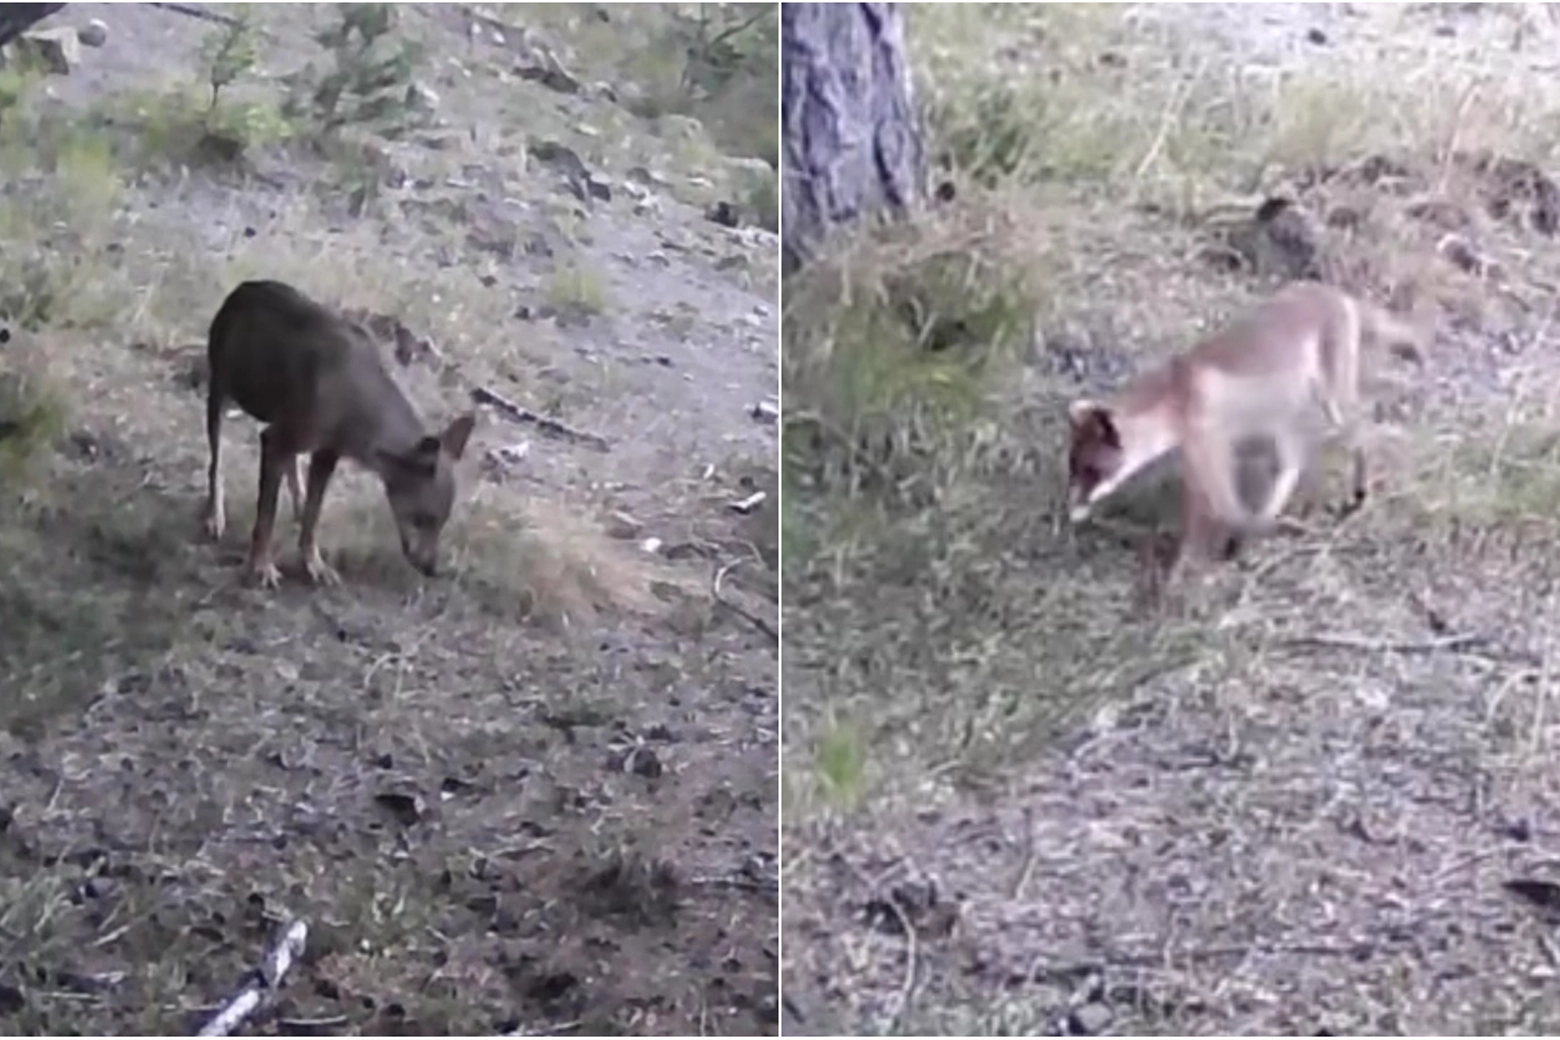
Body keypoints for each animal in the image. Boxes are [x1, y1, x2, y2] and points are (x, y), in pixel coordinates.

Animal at [204, 280, 477, 589]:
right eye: (421, 519)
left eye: (442, 521)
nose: (432, 569)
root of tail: (241, 289)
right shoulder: (273, 441)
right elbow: (266, 517)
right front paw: (262, 566)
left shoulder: (326, 454)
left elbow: (313, 516)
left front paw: (315, 564)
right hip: (221, 392)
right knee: (216, 463)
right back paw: (215, 514)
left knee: (290, 466)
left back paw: (296, 505)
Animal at [1067, 275, 1422, 586]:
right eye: (1073, 466)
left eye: (1092, 469)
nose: (1071, 511)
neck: (1177, 393)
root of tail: (1336, 293)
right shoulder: (1207, 454)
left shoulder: (1210, 452)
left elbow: (1218, 515)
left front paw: (1183, 575)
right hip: (1287, 416)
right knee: (1296, 461)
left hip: (1333, 401)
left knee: (1362, 432)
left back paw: (1356, 493)